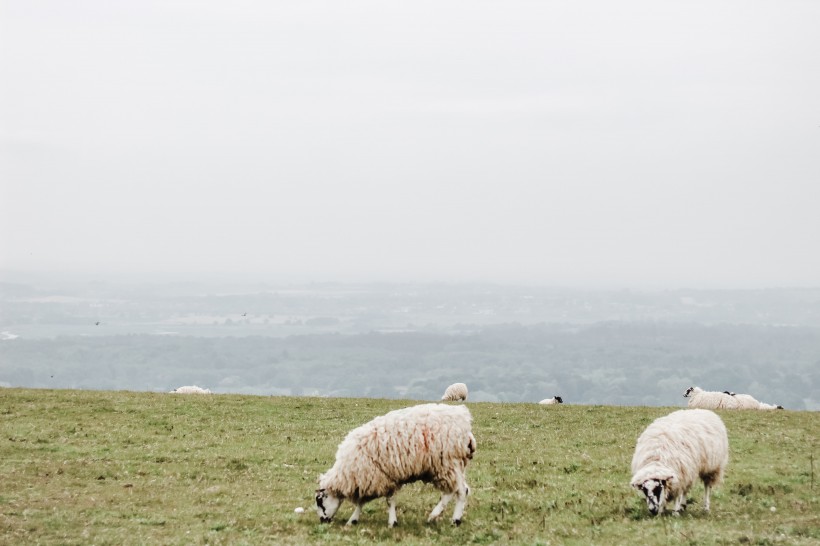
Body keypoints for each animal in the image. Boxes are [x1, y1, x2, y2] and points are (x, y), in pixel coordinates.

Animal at [316, 402, 480, 524]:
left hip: (447, 463)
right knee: (453, 491)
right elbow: (370, 501)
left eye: (319, 501)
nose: (323, 521)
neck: (345, 472)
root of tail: (465, 424)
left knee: (460, 491)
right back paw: (435, 516)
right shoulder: (377, 478)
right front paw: (355, 520)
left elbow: (382, 501)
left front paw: (389, 522)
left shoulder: (374, 476)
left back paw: (453, 519)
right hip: (447, 467)